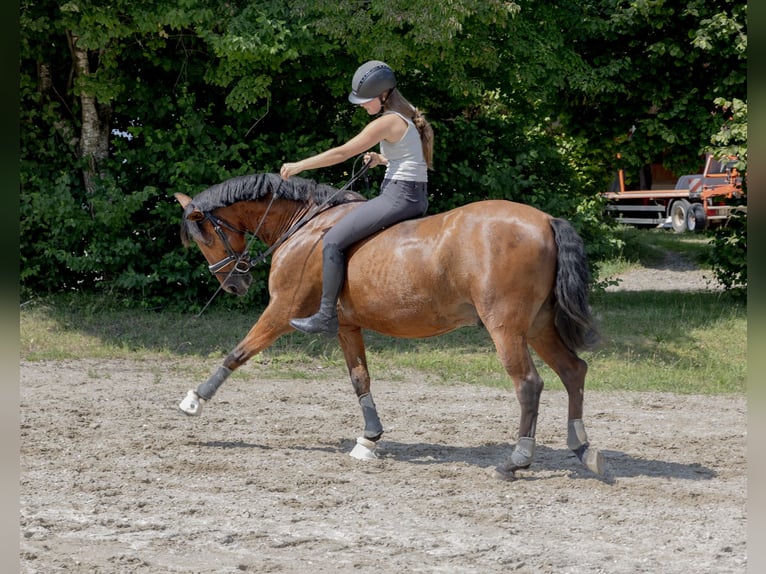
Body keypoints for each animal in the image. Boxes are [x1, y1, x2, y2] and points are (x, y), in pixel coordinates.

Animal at [174, 172, 605, 479]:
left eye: (206, 237)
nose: (233, 284)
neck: (305, 228)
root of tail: (545, 220)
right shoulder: (346, 327)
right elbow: (360, 379)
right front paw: (369, 439)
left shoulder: (282, 310)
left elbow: (238, 352)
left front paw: (194, 400)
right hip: (538, 325)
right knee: (573, 370)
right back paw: (583, 448)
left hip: (506, 327)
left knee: (529, 384)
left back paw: (516, 460)